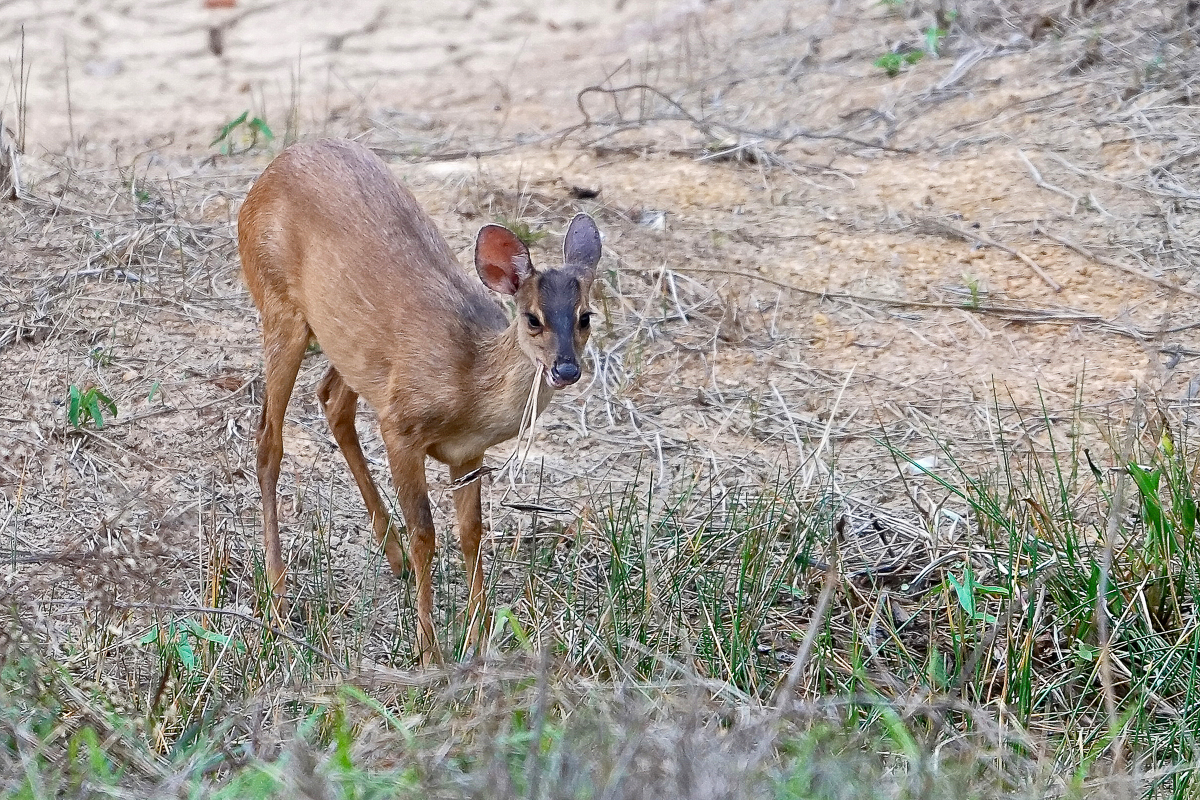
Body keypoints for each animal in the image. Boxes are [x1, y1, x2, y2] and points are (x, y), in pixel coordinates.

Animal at [238, 137, 604, 662]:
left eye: (585, 317)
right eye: (532, 318)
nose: (566, 369)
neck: (468, 384)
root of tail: (265, 176)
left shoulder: (468, 453)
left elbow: (472, 532)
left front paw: (477, 636)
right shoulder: (402, 425)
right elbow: (426, 534)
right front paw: (429, 650)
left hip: (350, 344)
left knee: (331, 398)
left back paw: (389, 557)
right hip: (278, 305)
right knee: (269, 437)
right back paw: (279, 598)